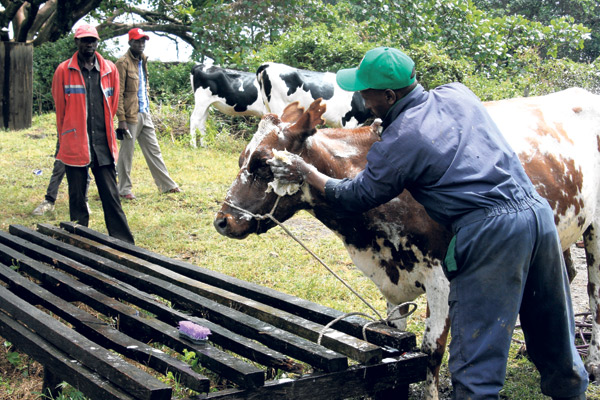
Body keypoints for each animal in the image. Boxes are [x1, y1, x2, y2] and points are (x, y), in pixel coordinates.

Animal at [213, 89, 596, 398]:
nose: (223, 221)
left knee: (594, 293)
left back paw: (592, 363)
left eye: (263, 165)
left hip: (594, 232)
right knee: (564, 278)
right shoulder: (391, 283)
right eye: (241, 160)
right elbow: (393, 341)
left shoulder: (442, 280)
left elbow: (430, 352)